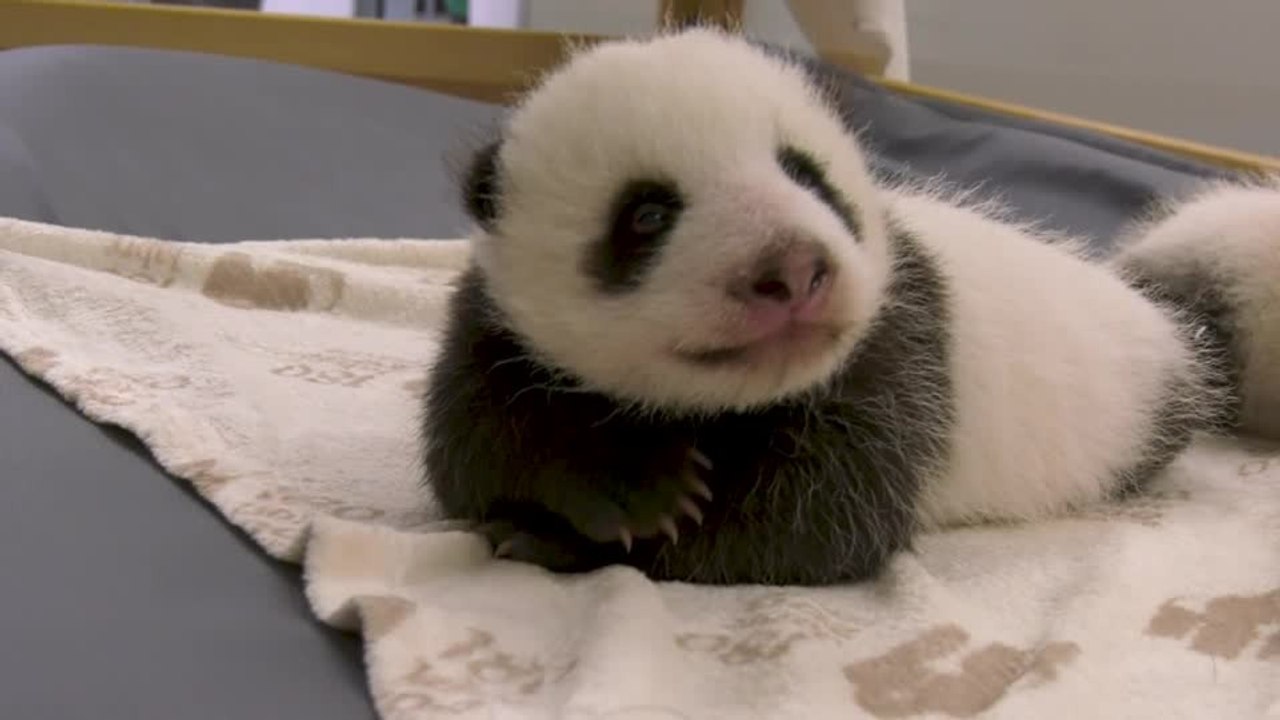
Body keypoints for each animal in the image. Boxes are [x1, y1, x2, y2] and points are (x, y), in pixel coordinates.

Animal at [419, 27, 1279, 586]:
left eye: (807, 175)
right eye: (647, 214)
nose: (794, 270)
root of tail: (1169, 322)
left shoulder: (896, 360)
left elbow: (810, 527)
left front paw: (571, 540)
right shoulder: (500, 327)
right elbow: (474, 446)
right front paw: (624, 488)